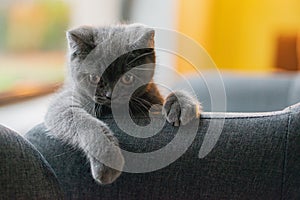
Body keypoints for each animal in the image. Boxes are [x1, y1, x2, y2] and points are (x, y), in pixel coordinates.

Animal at [44, 23, 203, 184]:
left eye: (127, 78)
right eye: (94, 78)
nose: (110, 95)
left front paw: (181, 105)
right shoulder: (64, 102)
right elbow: (81, 120)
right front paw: (107, 157)